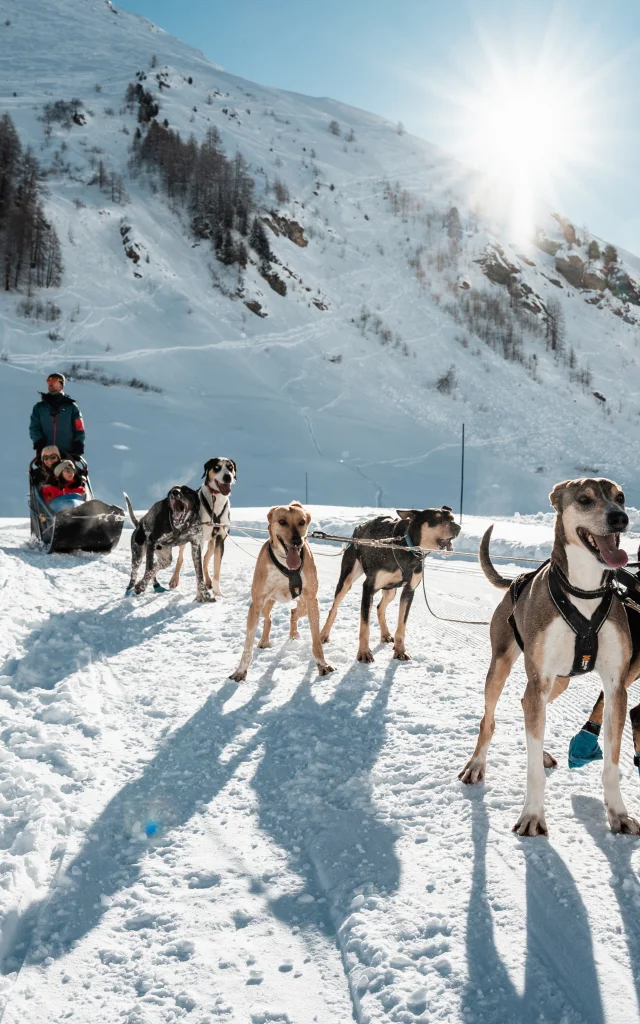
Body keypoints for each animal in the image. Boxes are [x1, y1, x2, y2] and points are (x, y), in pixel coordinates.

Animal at [229, 501, 333, 684]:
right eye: (282, 521)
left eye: (302, 522)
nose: (297, 541)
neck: (286, 565)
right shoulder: (256, 604)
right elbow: (248, 645)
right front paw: (241, 671)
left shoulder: (312, 599)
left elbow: (316, 641)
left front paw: (322, 664)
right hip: (265, 604)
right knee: (268, 617)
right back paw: (264, 640)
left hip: (306, 604)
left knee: (294, 612)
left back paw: (294, 634)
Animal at [319, 505, 458, 663]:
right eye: (436, 519)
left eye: (452, 518)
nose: (458, 527)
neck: (406, 547)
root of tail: (358, 528)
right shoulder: (368, 588)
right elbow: (365, 627)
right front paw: (364, 653)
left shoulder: (409, 591)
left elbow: (401, 626)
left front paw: (400, 651)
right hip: (346, 581)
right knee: (334, 609)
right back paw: (323, 635)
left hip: (391, 591)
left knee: (380, 607)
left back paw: (385, 634)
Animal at [456, 475, 634, 835]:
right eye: (585, 499)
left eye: (620, 497)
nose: (619, 518)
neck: (583, 592)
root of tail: (515, 582)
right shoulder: (538, 680)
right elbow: (532, 772)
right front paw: (532, 816)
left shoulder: (615, 687)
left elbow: (611, 762)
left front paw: (618, 813)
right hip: (502, 668)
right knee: (489, 719)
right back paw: (477, 764)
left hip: (557, 682)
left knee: (525, 706)